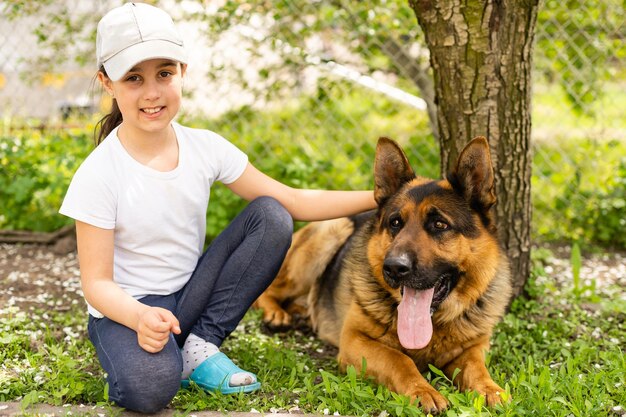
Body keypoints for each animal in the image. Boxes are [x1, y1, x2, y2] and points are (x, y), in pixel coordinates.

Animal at [252, 137, 508, 412]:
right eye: (395, 222)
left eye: (440, 225)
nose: (394, 267)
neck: (433, 325)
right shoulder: (354, 341)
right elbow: (398, 359)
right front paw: (422, 390)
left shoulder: (474, 347)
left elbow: (477, 368)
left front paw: (490, 389)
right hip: (330, 233)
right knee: (270, 289)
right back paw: (277, 314)